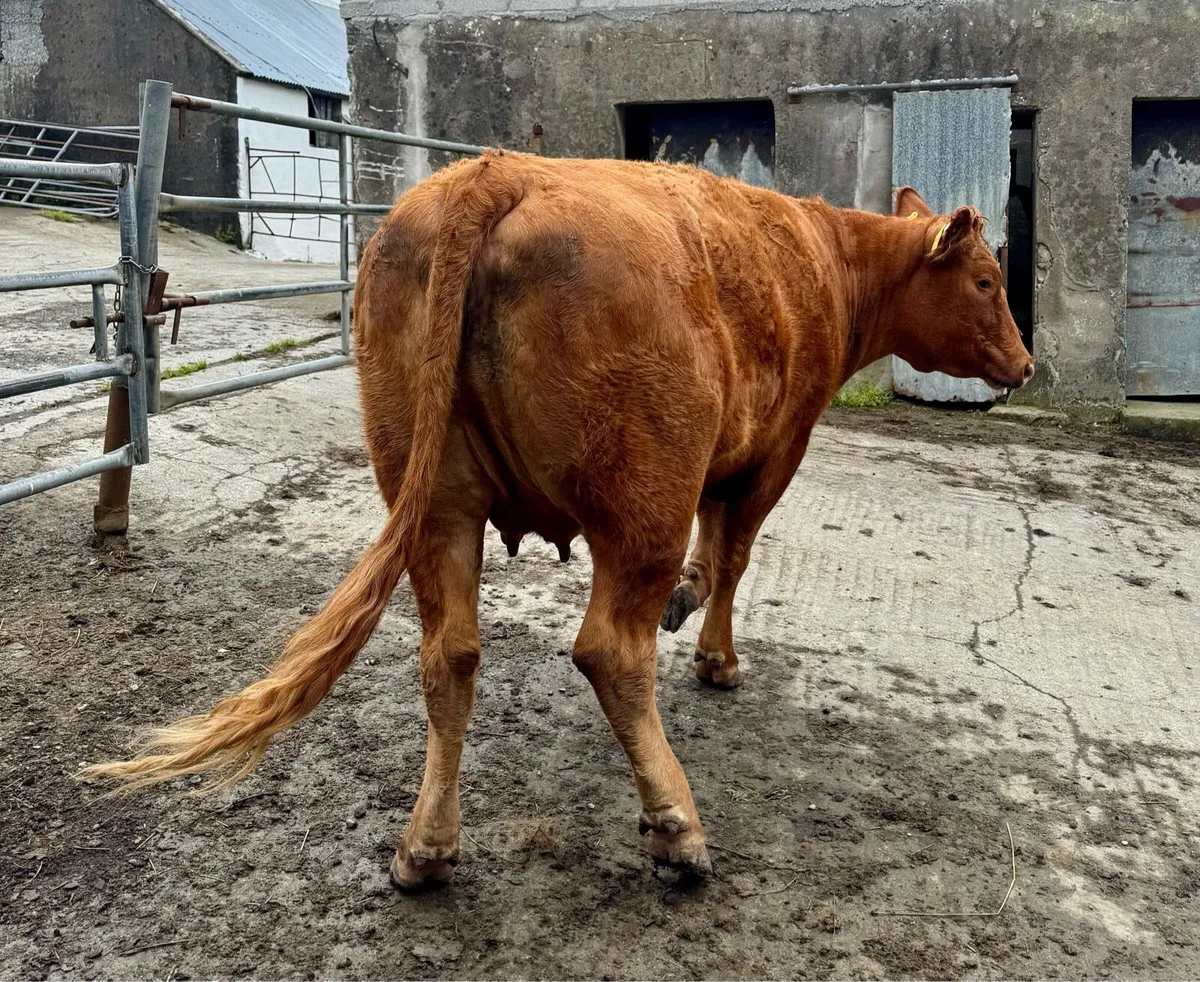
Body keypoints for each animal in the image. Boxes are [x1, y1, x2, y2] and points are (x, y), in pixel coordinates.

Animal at [82, 150, 1033, 890]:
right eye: (988, 280)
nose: (1025, 364)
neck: (824, 262)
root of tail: (491, 173)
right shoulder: (773, 451)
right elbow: (731, 557)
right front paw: (716, 654)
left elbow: (715, 553)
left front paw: (695, 611)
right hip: (641, 493)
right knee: (610, 649)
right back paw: (676, 828)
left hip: (434, 495)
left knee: (450, 654)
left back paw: (426, 849)